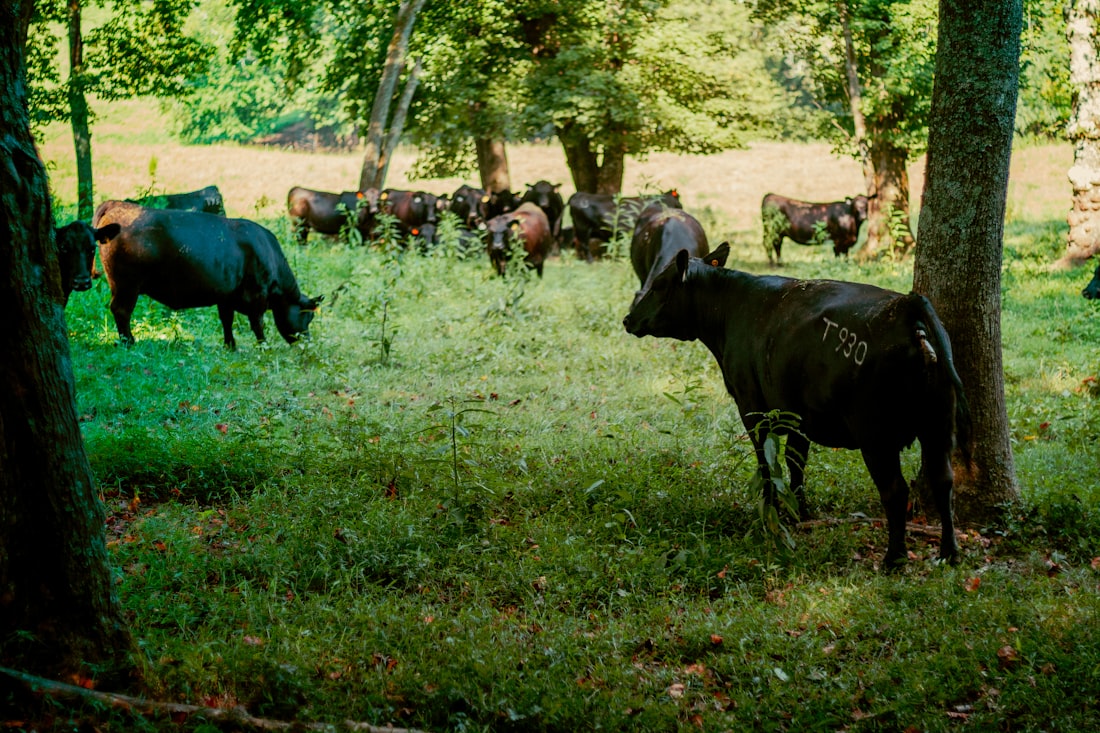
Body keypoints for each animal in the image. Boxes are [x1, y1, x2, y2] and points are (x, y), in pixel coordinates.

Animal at [92, 200, 322, 349]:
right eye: (307, 316)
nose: (308, 343)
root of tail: (117, 204)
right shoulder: (257, 296)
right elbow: (258, 325)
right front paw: (264, 347)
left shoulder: (226, 297)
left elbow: (227, 321)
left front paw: (230, 346)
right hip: (127, 285)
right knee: (121, 311)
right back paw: (129, 342)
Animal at [623, 242, 971, 570]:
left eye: (658, 285)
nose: (628, 319)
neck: (732, 309)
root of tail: (907, 305)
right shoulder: (800, 416)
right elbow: (795, 463)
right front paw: (799, 512)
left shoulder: (752, 408)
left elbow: (766, 463)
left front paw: (772, 511)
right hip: (939, 425)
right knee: (943, 480)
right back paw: (949, 553)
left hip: (875, 435)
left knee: (895, 491)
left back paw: (894, 558)